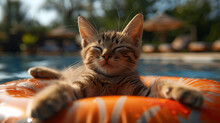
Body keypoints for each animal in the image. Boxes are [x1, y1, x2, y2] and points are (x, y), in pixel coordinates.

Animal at [26, 13, 204, 120]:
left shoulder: (141, 92)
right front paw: (45, 100)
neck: (109, 79)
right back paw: (38, 70)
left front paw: (184, 90)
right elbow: (60, 87)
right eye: (98, 48)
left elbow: (160, 83)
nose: (106, 55)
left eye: (119, 47)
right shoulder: (78, 85)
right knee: (62, 75)